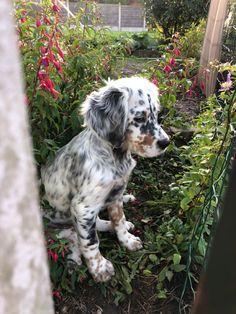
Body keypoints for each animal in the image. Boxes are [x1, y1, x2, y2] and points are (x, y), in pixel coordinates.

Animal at [41, 76, 170, 282]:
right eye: (139, 118)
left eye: (157, 115)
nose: (166, 143)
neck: (115, 156)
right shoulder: (83, 207)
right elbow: (90, 241)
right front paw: (99, 268)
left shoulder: (116, 193)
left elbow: (119, 219)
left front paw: (127, 239)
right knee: (75, 237)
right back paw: (74, 260)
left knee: (97, 224)